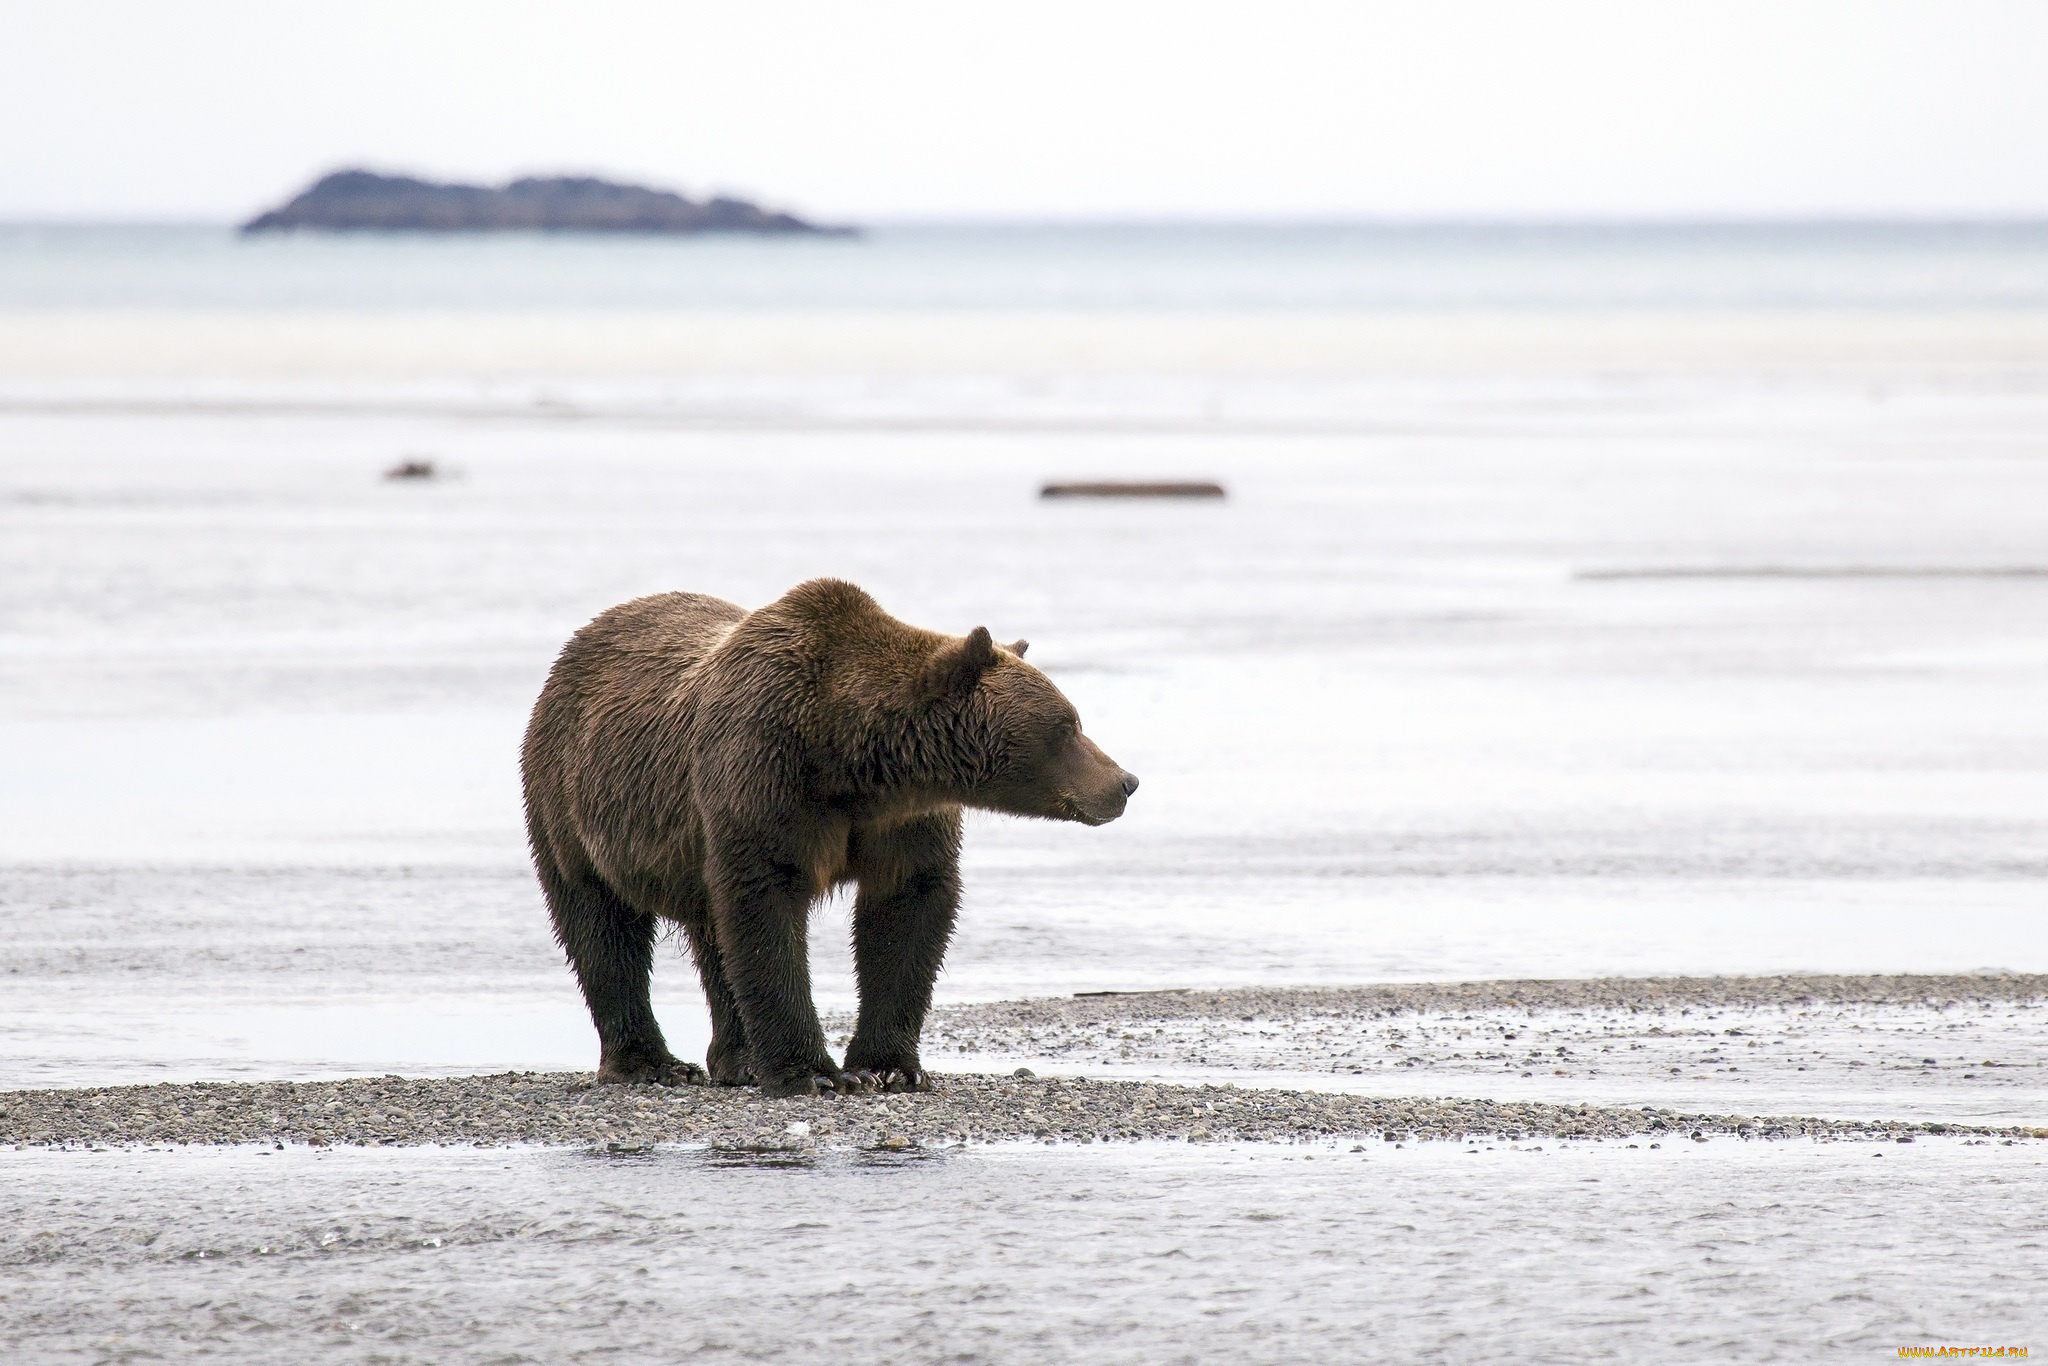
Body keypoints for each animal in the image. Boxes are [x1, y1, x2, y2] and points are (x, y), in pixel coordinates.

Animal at [520, 577, 1146, 1097]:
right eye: (1068, 725)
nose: (1125, 781)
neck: (853, 759)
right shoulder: (763, 776)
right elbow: (765, 911)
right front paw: (814, 1073)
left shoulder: (901, 821)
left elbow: (907, 913)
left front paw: (889, 1067)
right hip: (570, 799)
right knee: (602, 926)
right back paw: (652, 1063)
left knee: (710, 933)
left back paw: (736, 1060)